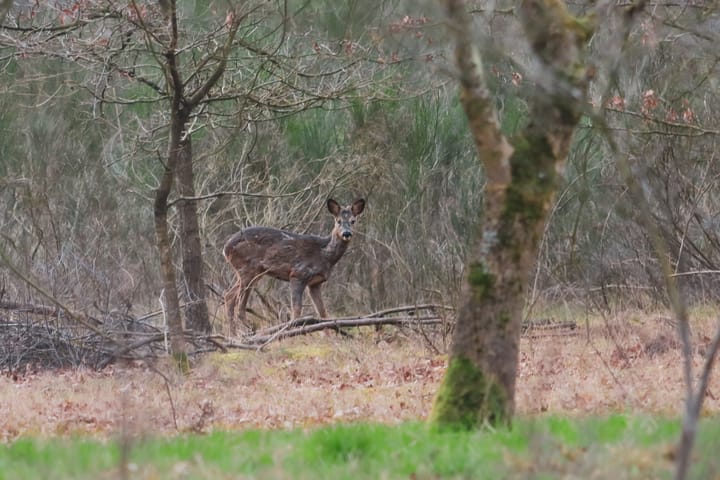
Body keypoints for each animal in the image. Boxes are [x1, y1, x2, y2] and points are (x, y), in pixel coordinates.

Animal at [222, 198, 366, 334]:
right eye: (338, 221)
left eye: (353, 221)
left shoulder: (315, 283)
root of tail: (226, 248)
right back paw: (247, 332)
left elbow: (322, 313)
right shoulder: (298, 274)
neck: (324, 254)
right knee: (237, 302)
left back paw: (235, 335)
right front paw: (293, 333)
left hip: (253, 273)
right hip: (247, 269)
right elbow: (296, 311)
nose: (346, 233)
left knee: (230, 297)